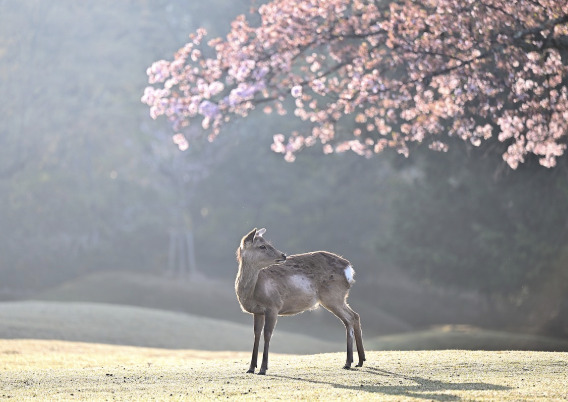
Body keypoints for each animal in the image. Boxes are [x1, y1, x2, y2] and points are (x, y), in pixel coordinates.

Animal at [234, 228, 364, 376]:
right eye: (262, 246)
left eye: (268, 243)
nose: (283, 255)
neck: (252, 292)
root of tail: (349, 269)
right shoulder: (258, 311)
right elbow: (256, 334)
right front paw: (250, 368)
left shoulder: (273, 306)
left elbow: (267, 334)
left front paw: (263, 368)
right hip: (338, 298)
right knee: (354, 317)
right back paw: (358, 361)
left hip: (333, 296)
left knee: (350, 317)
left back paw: (349, 362)